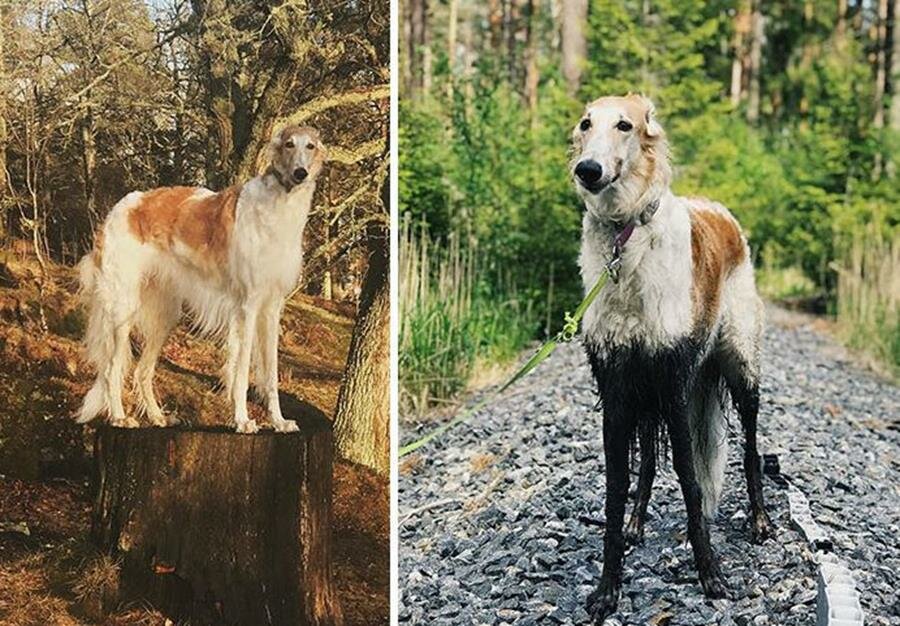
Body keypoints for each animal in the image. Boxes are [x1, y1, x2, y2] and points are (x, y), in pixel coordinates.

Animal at [74, 124, 326, 432]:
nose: (300, 173)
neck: (279, 206)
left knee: (142, 371)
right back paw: (120, 417)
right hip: (123, 308)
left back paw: (158, 416)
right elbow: (242, 372)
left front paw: (278, 421)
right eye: (289, 144)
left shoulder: (272, 306)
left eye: (310, 146)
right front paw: (243, 420)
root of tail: (120, 206)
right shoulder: (248, 305)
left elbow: (270, 375)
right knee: (112, 369)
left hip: (165, 314)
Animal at [572, 95, 768, 620]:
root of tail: (720, 211)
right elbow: (618, 484)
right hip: (646, 395)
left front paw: (710, 573)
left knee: (751, 449)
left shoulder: (674, 380)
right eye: (585, 124)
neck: (626, 239)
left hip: (740, 366)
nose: (587, 170)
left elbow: (690, 478)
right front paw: (608, 588)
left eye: (625, 124)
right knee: (645, 467)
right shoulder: (618, 387)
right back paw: (637, 524)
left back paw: (760, 519)